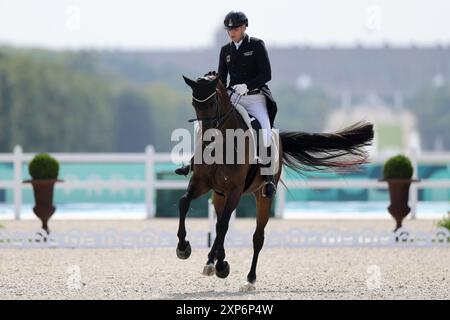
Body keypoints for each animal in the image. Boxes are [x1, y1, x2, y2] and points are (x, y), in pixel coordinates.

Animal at [178, 72, 374, 290]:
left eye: (212, 102)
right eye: (194, 103)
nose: (206, 140)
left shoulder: (235, 191)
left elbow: (223, 226)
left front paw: (222, 266)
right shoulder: (201, 183)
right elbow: (185, 203)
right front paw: (183, 248)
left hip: (262, 196)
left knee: (256, 237)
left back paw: (249, 278)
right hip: (219, 195)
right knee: (219, 222)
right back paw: (211, 262)